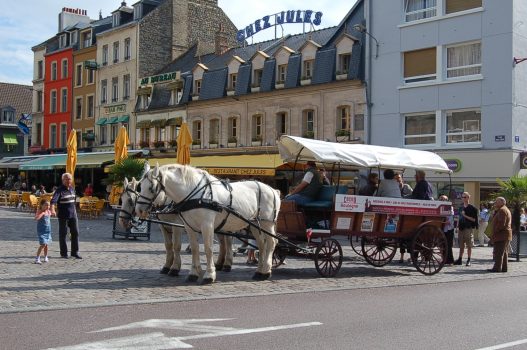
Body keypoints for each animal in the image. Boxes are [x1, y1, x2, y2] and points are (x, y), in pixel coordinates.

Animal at [136, 165, 282, 284]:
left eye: (151, 188)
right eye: (139, 186)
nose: (139, 210)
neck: (196, 195)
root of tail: (273, 189)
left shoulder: (206, 225)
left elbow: (208, 248)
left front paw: (209, 275)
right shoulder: (189, 226)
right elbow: (194, 248)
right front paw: (193, 273)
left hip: (267, 224)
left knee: (271, 243)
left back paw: (266, 271)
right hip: (254, 224)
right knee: (261, 245)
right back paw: (259, 271)